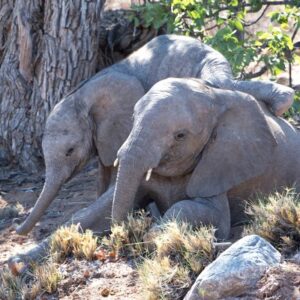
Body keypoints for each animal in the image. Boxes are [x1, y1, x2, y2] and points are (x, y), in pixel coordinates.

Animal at [110, 78, 300, 240]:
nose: (133, 226)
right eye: (133, 119)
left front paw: (154, 235)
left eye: (180, 135)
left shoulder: (222, 163)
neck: (215, 98)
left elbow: (214, 217)